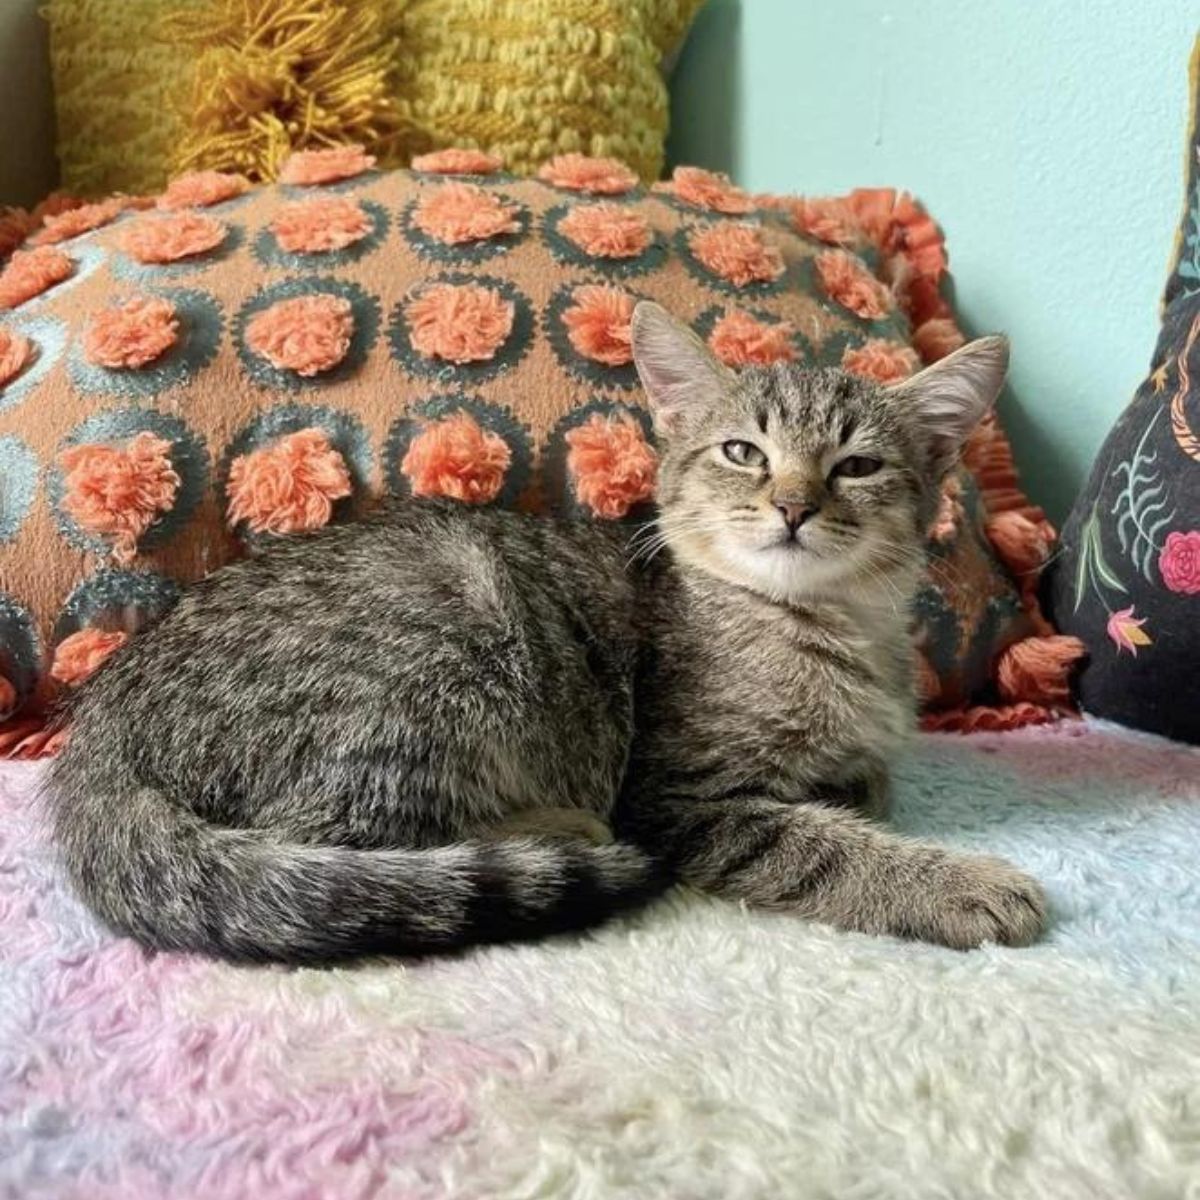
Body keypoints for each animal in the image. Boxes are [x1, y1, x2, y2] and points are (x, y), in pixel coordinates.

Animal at [46, 304, 1046, 960]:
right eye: (743, 452)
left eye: (858, 467)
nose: (794, 505)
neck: (824, 625)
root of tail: (99, 731)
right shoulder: (679, 796)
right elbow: (817, 844)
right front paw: (957, 884)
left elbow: (864, 785)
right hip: (436, 661)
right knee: (342, 845)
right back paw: (558, 829)